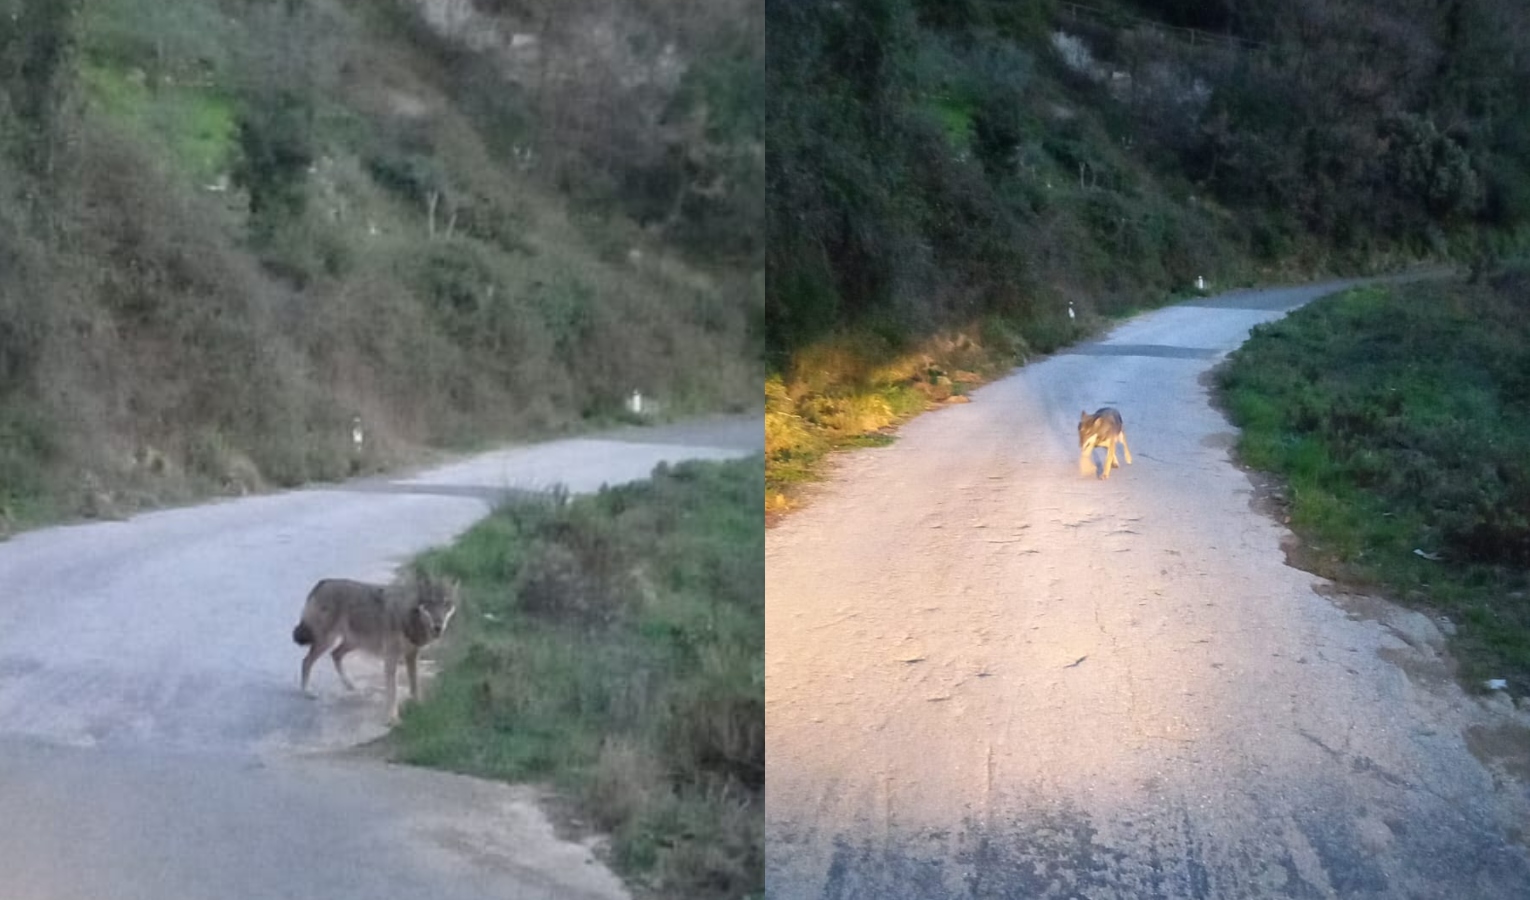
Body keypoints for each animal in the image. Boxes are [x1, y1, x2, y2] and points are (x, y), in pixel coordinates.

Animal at [292, 569, 455, 725]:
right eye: (430, 603)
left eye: (446, 604)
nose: (438, 627)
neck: (408, 613)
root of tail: (323, 582)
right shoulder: (390, 658)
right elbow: (393, 691)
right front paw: (392, 719)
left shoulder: (412, 655)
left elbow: (415, 686)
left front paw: (419, 707)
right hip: (328, 641)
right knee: (306, 661)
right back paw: (307, 692)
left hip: (353, 642)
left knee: (335, 654)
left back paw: (350, 684)